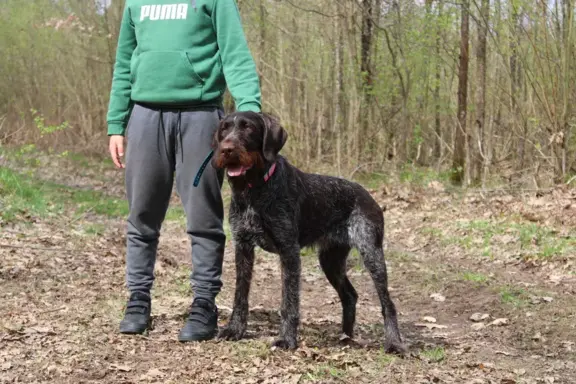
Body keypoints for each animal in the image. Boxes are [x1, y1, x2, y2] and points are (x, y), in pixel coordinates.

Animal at [210, 111, 404, 354]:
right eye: (224, 129)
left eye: (248, 128)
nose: (226, 149)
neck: (255, 189)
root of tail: (368, 195)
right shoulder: (243, 247)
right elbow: (240, 295)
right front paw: (235, 330)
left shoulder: (289, 251)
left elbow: (289, 301)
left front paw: (286, 339)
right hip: (331, 260)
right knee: (350, 295)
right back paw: (345, 336)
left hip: (372, 253)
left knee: (388, 302)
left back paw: (394, 343)